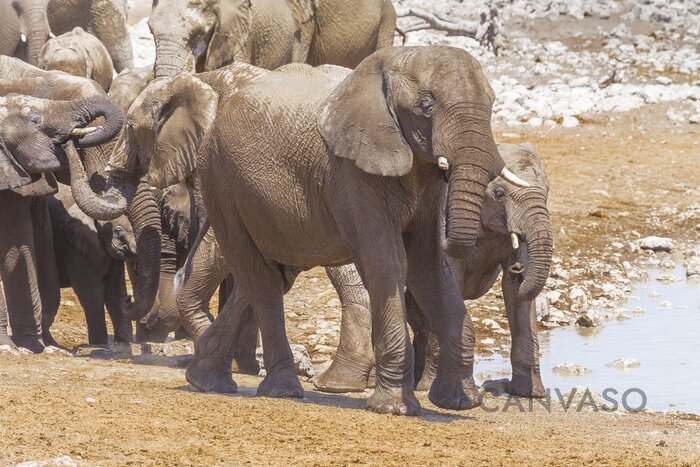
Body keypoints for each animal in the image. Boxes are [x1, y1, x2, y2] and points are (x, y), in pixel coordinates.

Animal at [314, 143, 556, 398]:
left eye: (547, 189)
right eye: (499, 193)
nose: (517, 268)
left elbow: (514, 295)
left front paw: (530, 393)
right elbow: (447, 282)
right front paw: (431, 388)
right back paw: (339, 385)